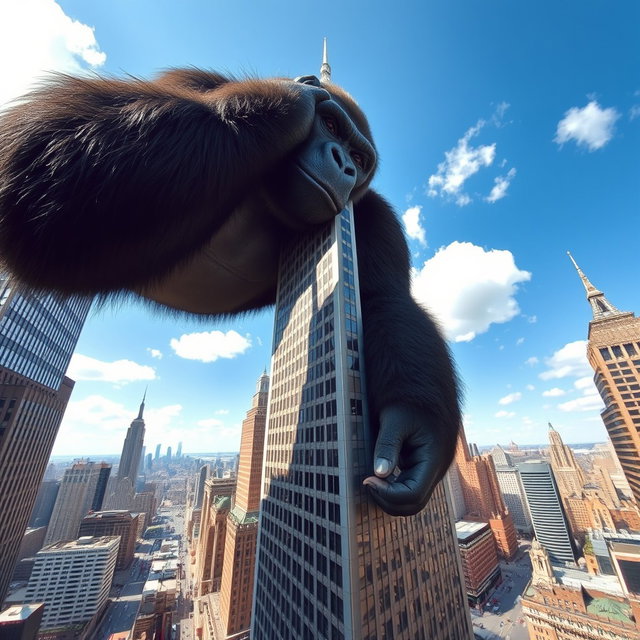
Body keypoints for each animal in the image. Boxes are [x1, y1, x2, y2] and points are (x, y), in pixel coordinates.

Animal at [0, 69, 461, 516]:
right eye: (330, 125)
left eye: (360, 159)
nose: (345, 164)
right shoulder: (197, 83)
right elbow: (40, 147)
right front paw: (288, 100)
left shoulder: (371, 214)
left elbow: (384, 301)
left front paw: (415, 433)